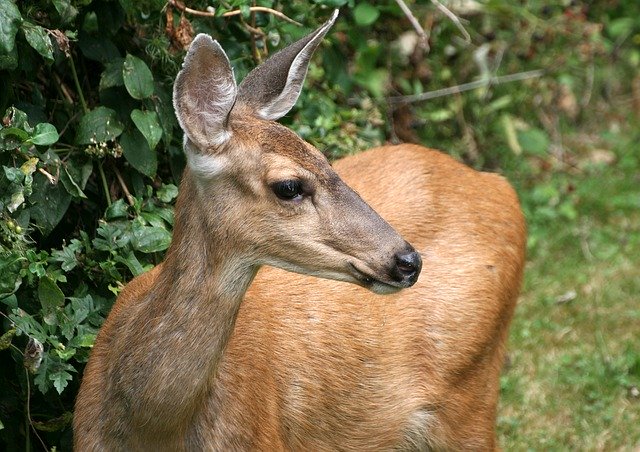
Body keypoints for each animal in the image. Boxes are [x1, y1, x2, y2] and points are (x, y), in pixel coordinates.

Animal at [74, 10, 524, 452]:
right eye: (289, 186)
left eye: (325, 158)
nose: (408, 261)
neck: (151, 431)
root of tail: (499, 185)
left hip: (473, 394)